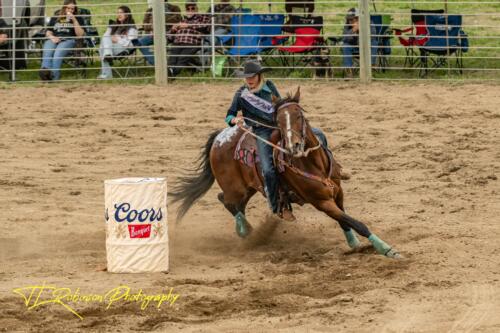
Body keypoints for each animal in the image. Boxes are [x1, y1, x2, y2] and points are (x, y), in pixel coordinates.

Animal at [172, 87, 402, 258]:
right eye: (279, 121)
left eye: (299, 115)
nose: (294, 146)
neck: (311, 163)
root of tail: (220, 136)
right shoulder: (321, 202)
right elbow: (356, 222)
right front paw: (386, 249)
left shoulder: (338, 193)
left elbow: (345, 219)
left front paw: (354, 244)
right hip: (236, 188)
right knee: (228, 201)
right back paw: (248, 232)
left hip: (248, 188)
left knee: (231, 202)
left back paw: (248, 232)